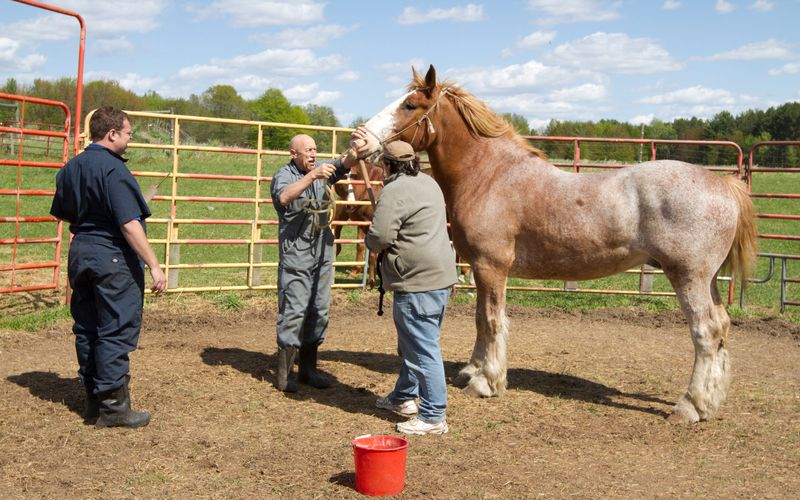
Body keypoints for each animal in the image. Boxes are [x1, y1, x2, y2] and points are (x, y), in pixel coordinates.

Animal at [360, 63, 760, 422]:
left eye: (410, 105)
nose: (360, 139)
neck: (490, 175)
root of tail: (725, 184)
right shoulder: (480, 268)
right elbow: (480, 320)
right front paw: (472, 371)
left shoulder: (492, 266)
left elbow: (491, 320)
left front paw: (486, 382)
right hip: (707, 280)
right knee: (722, 329)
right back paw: (709, 401)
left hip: (688, 277)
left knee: (706, 332)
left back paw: (689, 406)